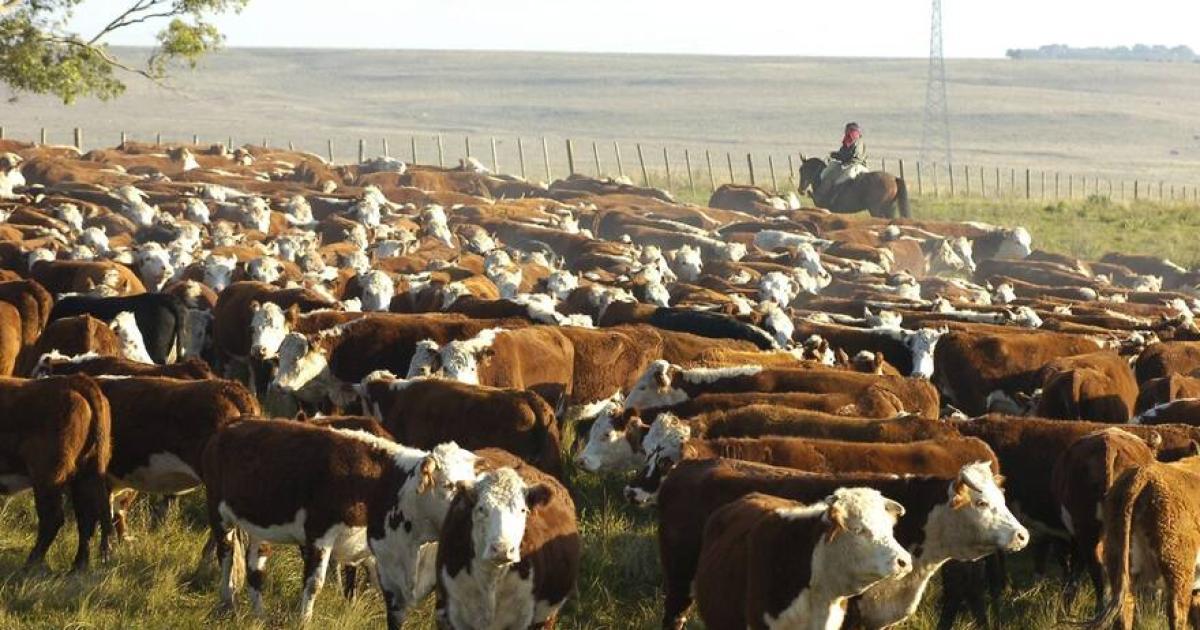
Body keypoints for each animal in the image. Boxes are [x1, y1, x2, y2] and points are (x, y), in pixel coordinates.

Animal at [0, 375, 113, 571]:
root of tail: (74, 380)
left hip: (47, 476)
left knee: (53, 518)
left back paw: (31, 564)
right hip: (85, 474)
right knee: (86, 518)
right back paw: (78, 566)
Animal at [202, 420, 480, 628]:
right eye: (448, 485)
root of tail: (229, 428)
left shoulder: (368, 546)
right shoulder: (319, 533)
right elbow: (314, 583)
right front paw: (304, 621)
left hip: (259, 525)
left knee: (255, 570)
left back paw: (259, 615)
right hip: (218, 512)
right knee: (226, 555)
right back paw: (227, 601)